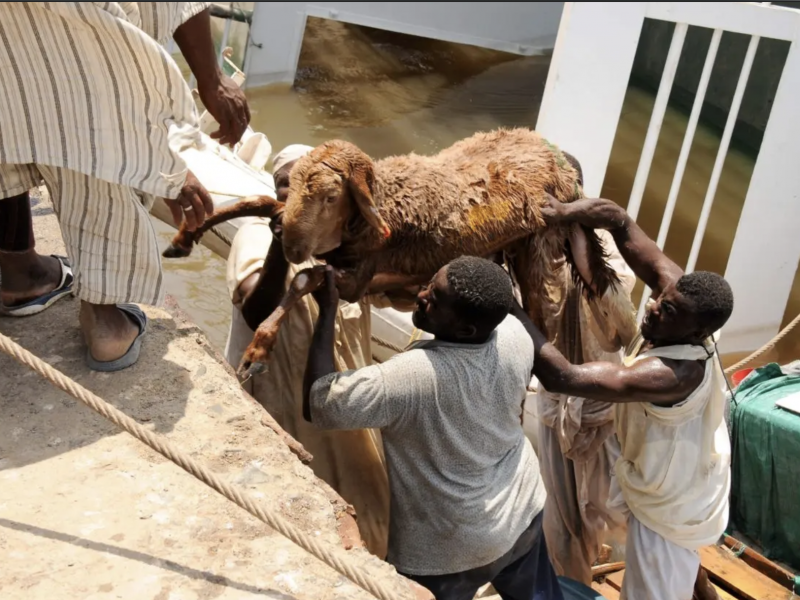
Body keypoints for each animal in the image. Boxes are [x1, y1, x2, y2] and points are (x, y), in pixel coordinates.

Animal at [164, 128, 636, 378]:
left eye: (332, 196)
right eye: (291, 184)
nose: (292, 245)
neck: (387, 202)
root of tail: (556, 158)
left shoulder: (356, 279)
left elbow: (303, 279)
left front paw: (257, 352)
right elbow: (257, 203)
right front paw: (185, 236)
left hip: (537, 248)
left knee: (542, 319)